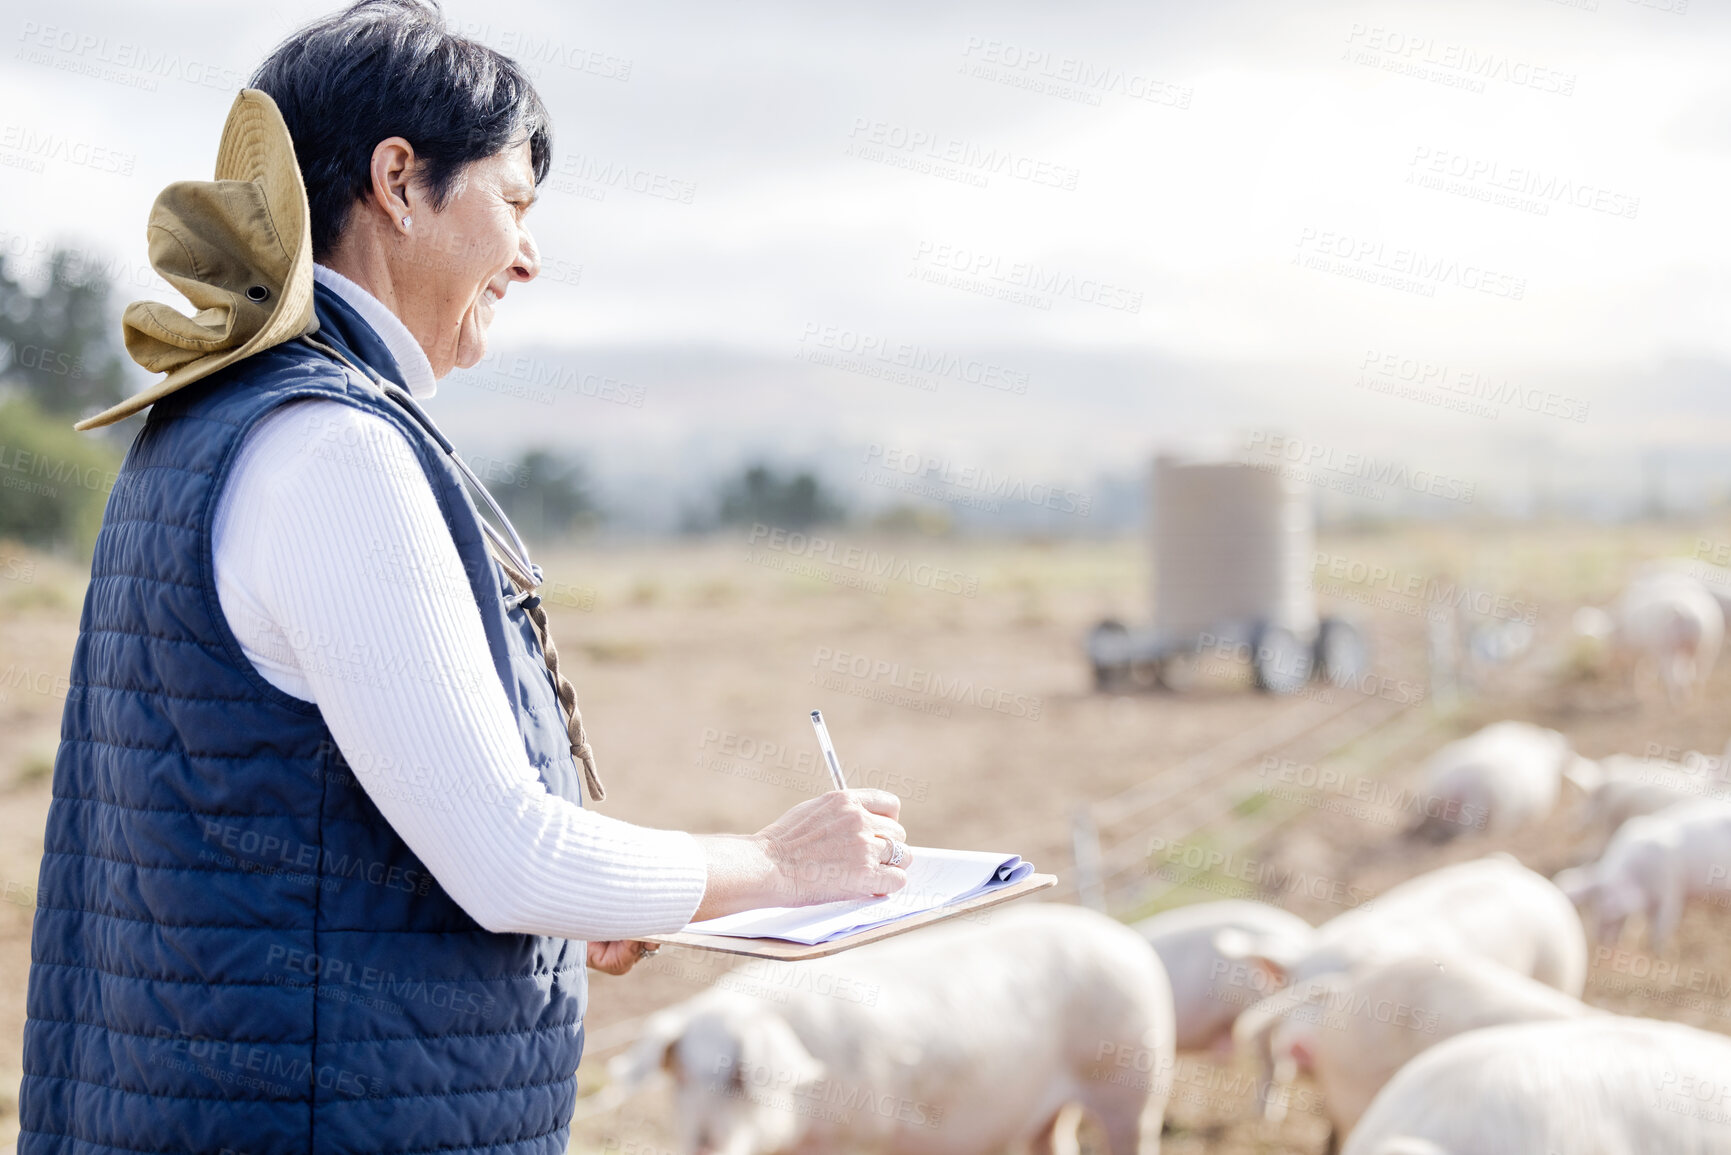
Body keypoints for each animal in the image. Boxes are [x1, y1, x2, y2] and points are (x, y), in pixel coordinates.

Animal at [609, 900, 1177, 1155]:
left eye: (740, 1078)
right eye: (680, 1076)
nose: (704, 1142)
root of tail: (1128, 940)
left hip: (1133, 1084)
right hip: (1050, 1111)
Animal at [1550, 800, 1731, 955]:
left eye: (1609, 907)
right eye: (1592, 909)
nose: (1600, 941)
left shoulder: (1671, 888)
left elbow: (1663, 924)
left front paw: (1662, 954)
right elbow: (1650, 923)